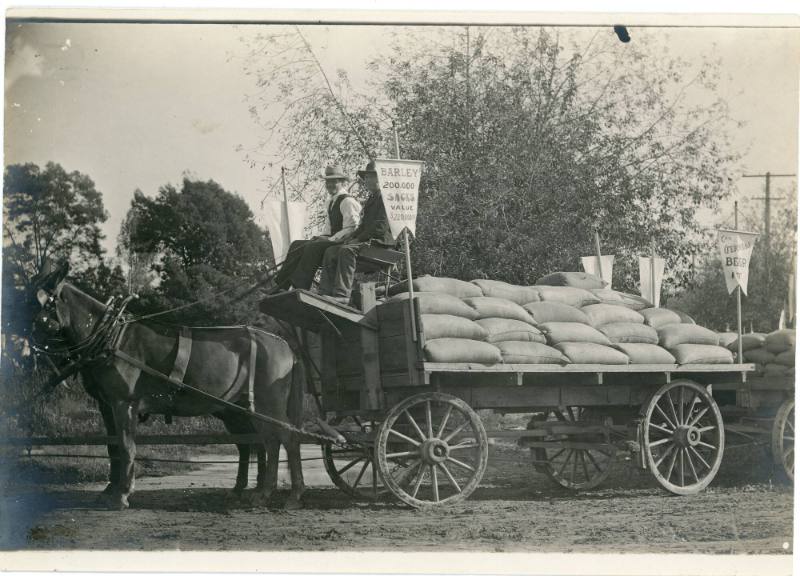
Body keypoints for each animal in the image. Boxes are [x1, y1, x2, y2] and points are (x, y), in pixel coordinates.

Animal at [32, 270, 304, 508]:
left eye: (36, 300)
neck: (112, 337)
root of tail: (285, 346)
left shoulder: (124, 403)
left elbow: (126, 446)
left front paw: (121, 494)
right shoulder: (106, 404)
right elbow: (113, 446)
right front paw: (111, 489)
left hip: (268, 404)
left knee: (284, 439)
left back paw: (288, 494)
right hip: (245, 409)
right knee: (262, 442)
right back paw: (257, 491)